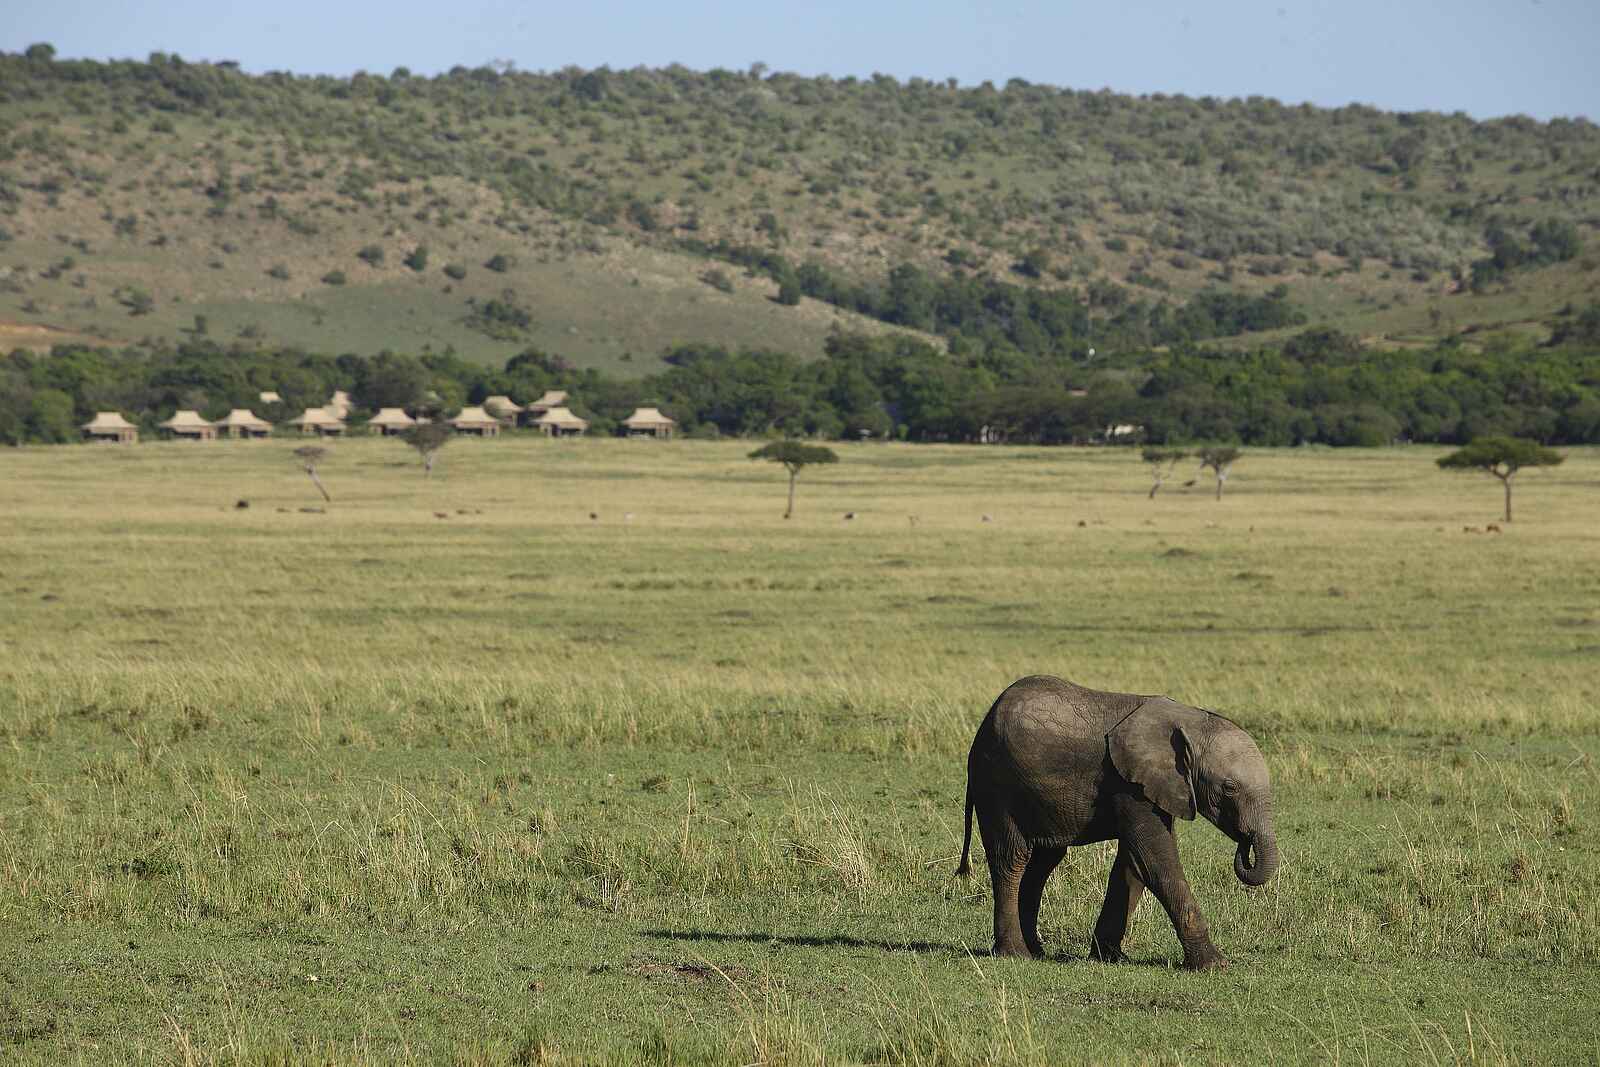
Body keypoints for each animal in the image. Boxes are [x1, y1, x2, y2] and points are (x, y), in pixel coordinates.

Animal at [956, 675, 1279, 970]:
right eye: (1229, 788)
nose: (1244, 845)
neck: (1188, 720)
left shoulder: (1152, 785)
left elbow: (1134, 863)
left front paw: (1111, 957)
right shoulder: (1129, 783)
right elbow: (1155, 859)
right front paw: (1214, 965)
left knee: (1042, 863)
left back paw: (1036, 950)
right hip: (998, 786)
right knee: (1012, 859)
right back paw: (1015, 953)